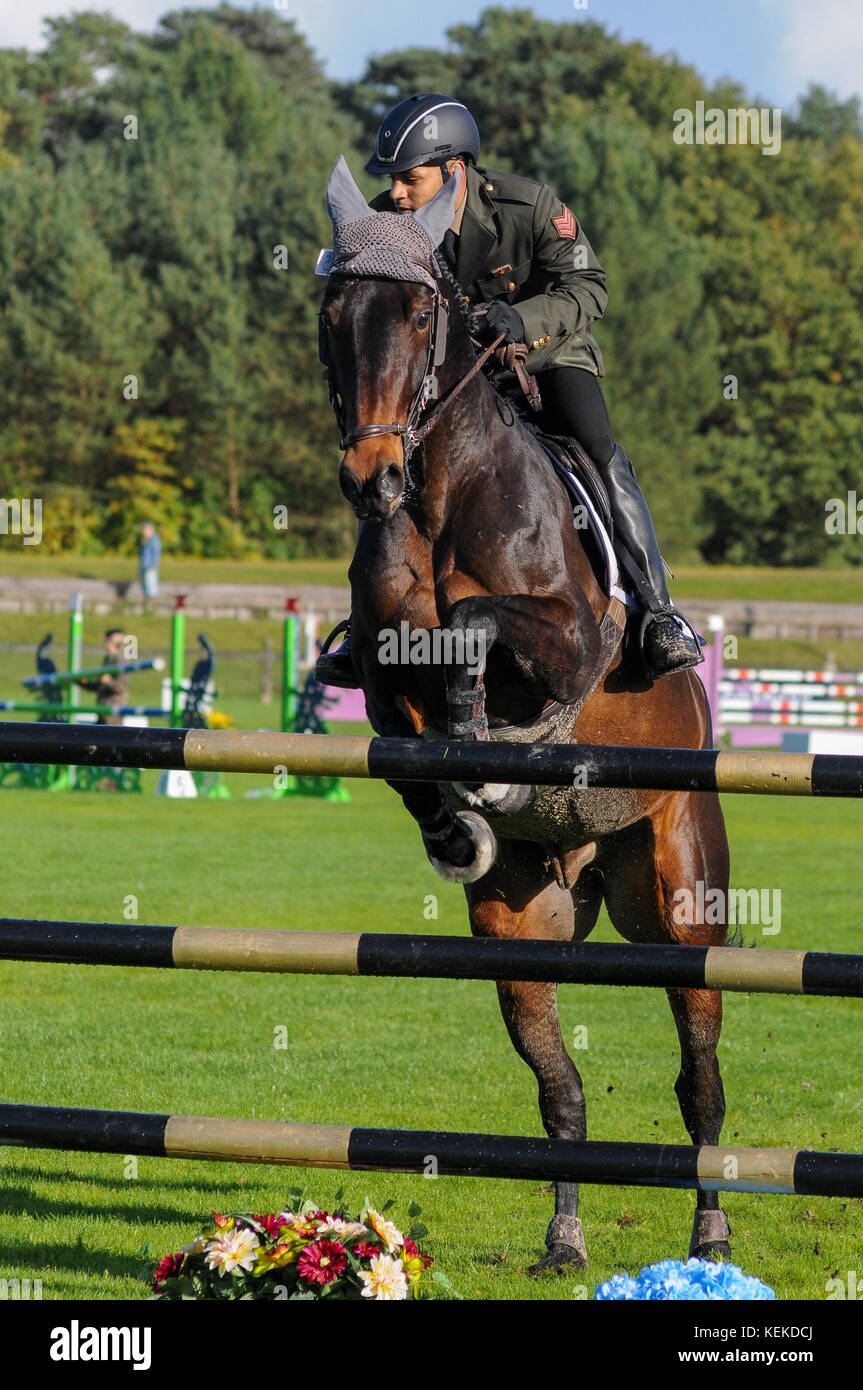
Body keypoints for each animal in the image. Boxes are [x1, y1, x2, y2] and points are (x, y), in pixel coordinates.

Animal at [316, 157, 728, 1273]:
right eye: (331, 314)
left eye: (420, 313)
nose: (370, 481)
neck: (438, 488)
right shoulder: (379, 672)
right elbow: (395, 714)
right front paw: (452, 809)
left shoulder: (568, 641)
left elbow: (471, 620)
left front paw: (473, 718)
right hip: (522, 923)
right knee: (560, 1090)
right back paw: (564, 1240)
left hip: (680, 897)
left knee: (699, 1076)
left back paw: (709, 1238)